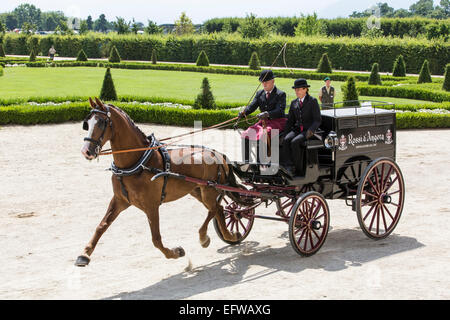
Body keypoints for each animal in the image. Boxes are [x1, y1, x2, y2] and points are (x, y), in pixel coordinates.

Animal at [75, 98, 241, 268]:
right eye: (87, 123)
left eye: (102, 122)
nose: (86, 151)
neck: (138, 163)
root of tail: (217, 153)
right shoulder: (120, 201)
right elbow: (101, 226)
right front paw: (85, 254)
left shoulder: (151, 206)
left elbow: (156, 239)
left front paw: (175, 252)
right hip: (197, 191)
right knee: (219, 209)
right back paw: (227, 235)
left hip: (209, 191)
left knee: (215, 209)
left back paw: (207, 237)